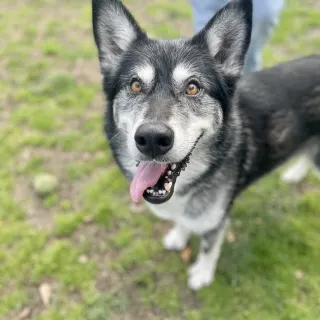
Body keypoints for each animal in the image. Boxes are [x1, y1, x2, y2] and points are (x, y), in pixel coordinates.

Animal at [92, 0, 320, 290]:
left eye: (192, 87)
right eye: (134, 85)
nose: (152, 139)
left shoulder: (215, 220)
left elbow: (209, 248)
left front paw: (202, 273)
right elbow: (183, 222)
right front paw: (179, 236)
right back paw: (295, 172)